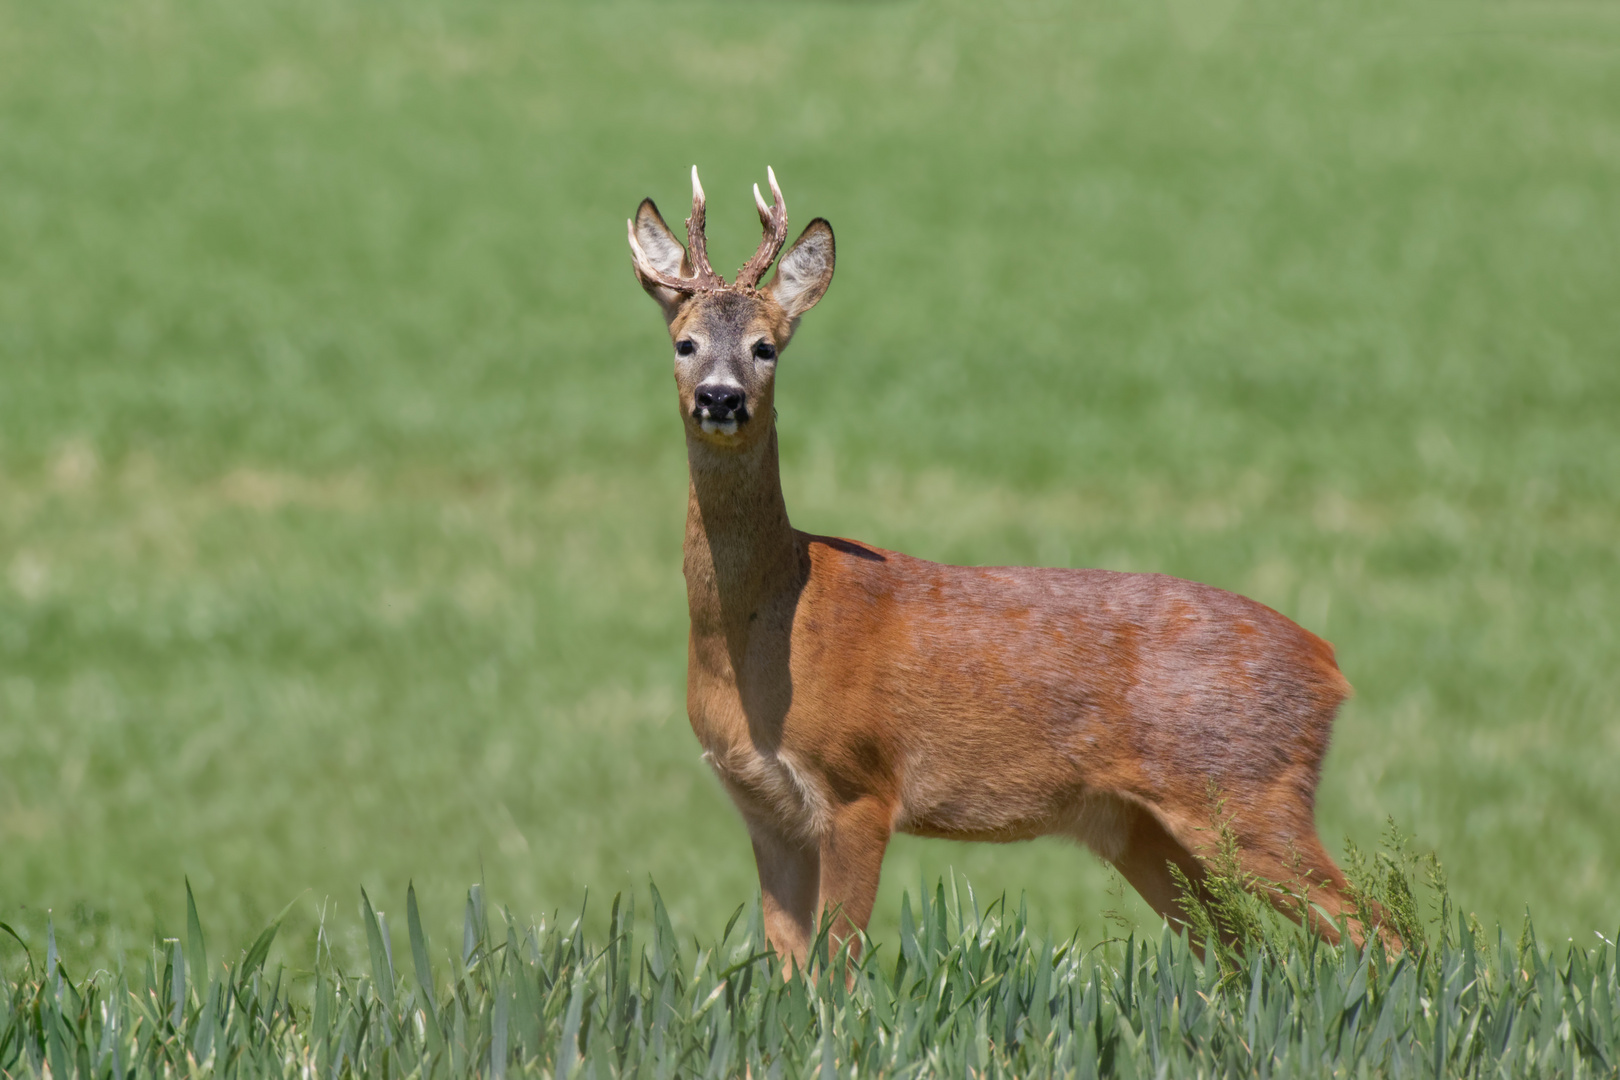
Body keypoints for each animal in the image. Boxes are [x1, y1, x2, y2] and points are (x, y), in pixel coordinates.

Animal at [628, 170, 1367, 971]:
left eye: (765, 348)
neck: (774, 623)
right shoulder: (765, 809)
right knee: (1242, 955)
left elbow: (841, 969)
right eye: (684, 342)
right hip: (1142, 828)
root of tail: (1330, 665)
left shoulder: (861, 786)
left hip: (1248, 790)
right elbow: (791, 971)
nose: (720, 397)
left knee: (1379, 929)